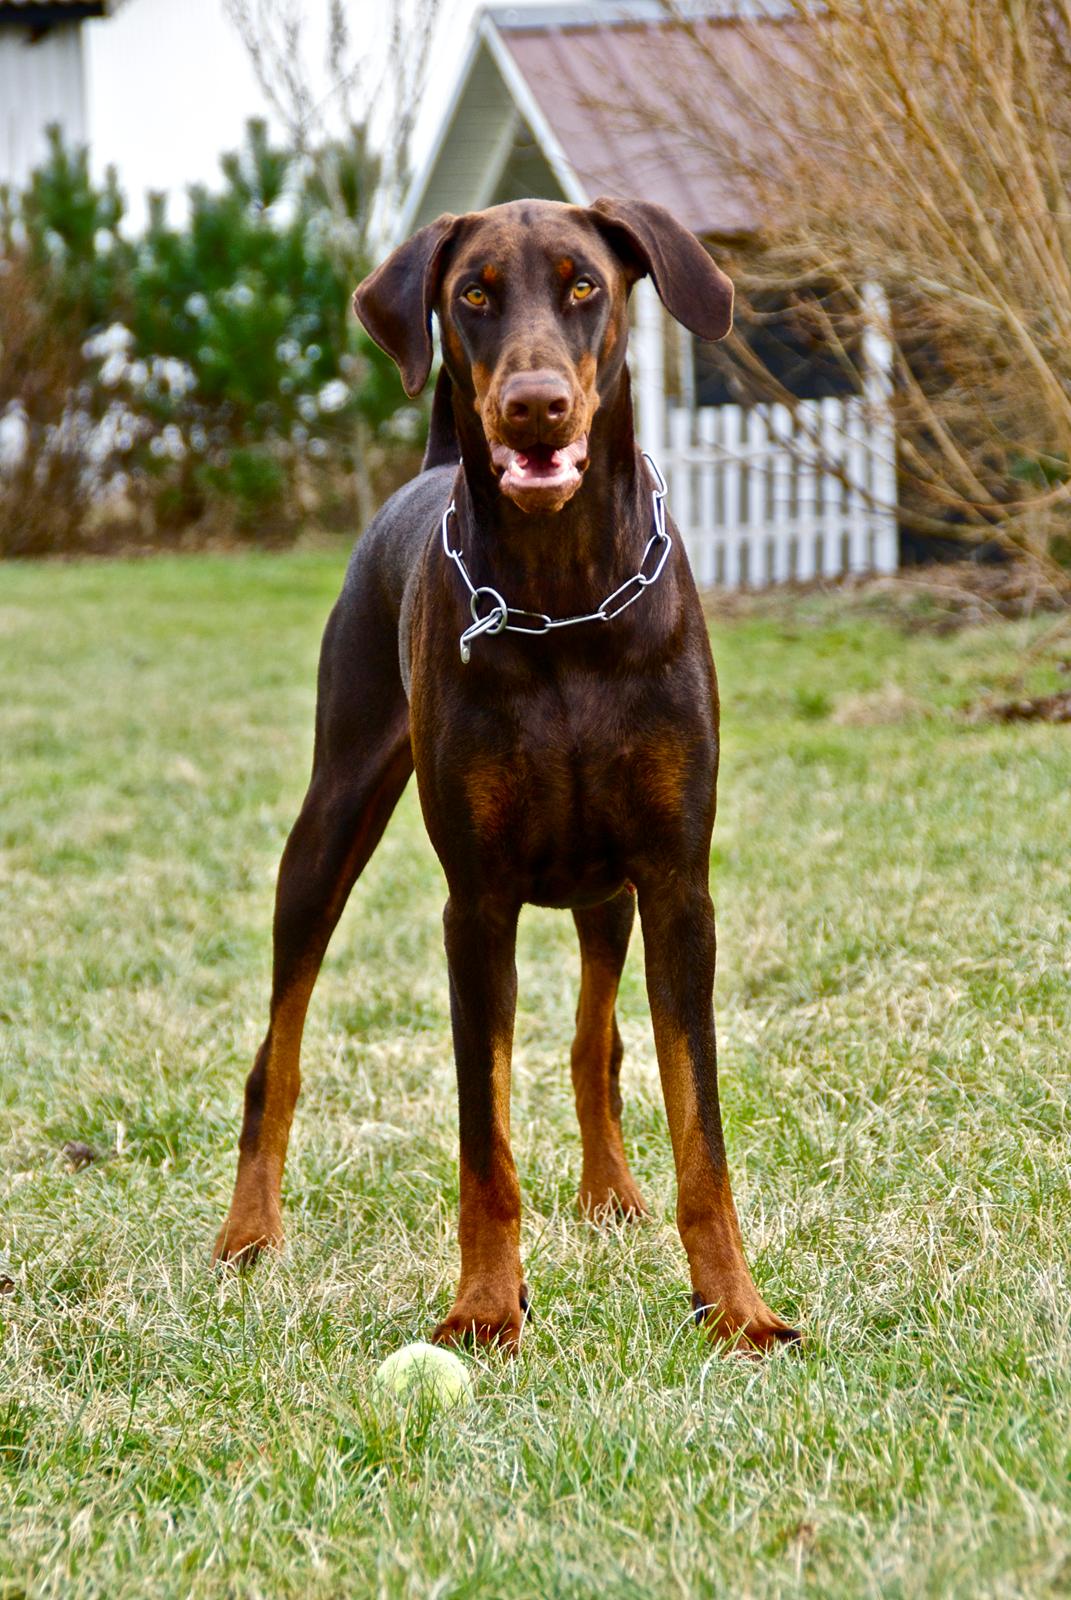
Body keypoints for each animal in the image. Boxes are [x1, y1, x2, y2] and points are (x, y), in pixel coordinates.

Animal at [212, 196, 797, 1350]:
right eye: (473, 294)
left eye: (584, 285)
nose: (533, 407)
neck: (562, 597)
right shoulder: (474, 904)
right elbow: (483, 1141)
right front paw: (485, 1307)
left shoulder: (675, 884)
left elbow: (698, 1128)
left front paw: (735, 1308)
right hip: (329, 822)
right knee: (277, 1050)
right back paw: (250, 1231)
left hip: (606, 893)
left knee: (592, 1045)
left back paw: (610, 1192)